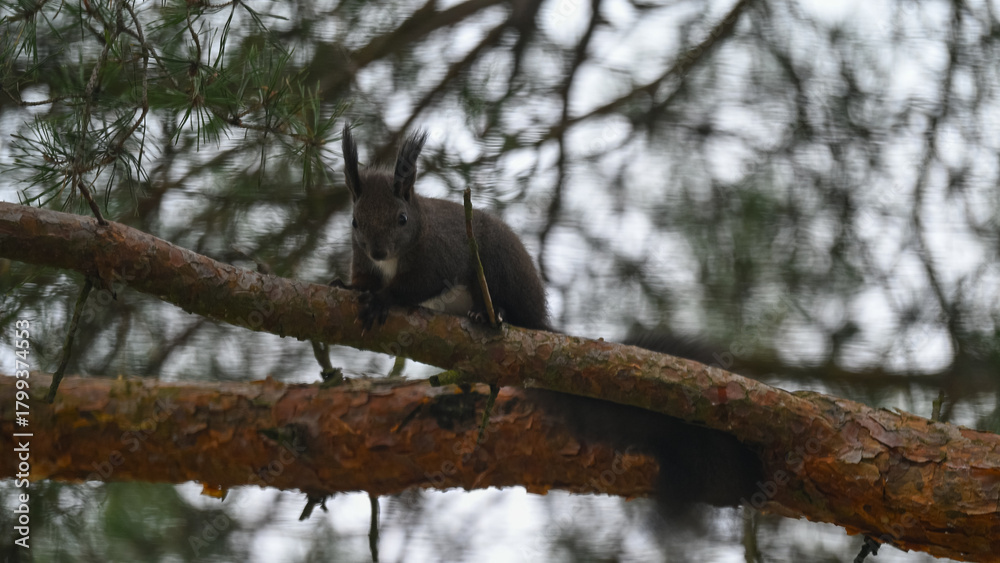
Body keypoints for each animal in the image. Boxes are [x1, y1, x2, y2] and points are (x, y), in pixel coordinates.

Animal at [340, 123, 550, 331]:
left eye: (403, 219)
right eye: (354, 222)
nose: (378, 253)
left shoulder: (439, 256)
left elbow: (419, 283)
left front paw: (380, 299)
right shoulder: (362, 257)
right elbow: (365, 279)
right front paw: (349, 286)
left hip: (500, 264)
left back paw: (487, 312)